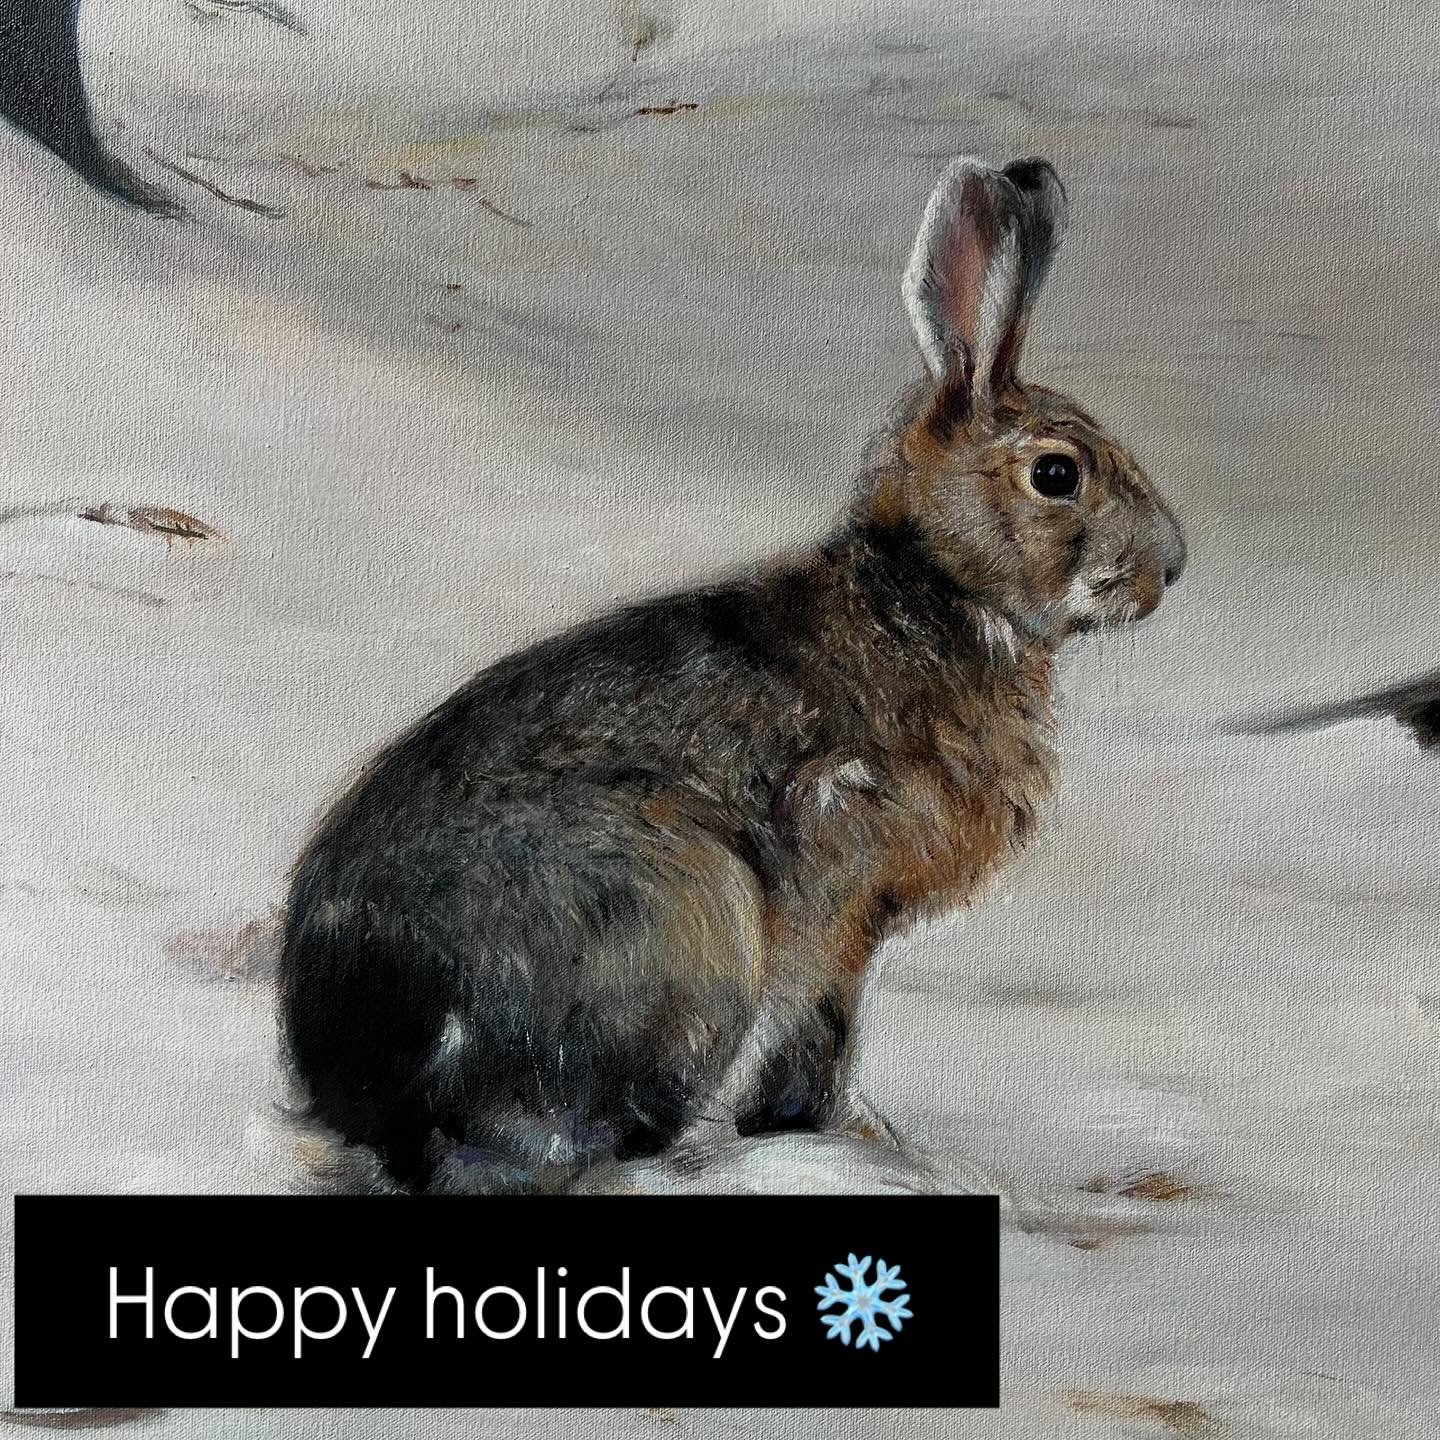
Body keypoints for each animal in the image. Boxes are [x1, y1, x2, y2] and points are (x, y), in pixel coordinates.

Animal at [279, 155, 1187, 1194]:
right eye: (1056, 475)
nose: (1173, 564)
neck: (935, 588)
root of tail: (373, 1075)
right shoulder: (840, 896)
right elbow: (822, 1030)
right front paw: (834, 1133)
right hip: (692, 907)